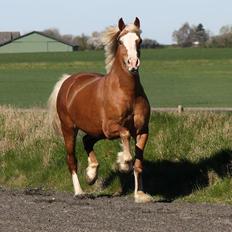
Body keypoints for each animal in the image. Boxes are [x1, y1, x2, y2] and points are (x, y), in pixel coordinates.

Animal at [47, 17, 152, 202]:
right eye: (120, 41)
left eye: (139, 40)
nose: (133, 63)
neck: (128, 93)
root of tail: (68, 81)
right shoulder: (110, 128)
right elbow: (125, 135)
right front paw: (123, 162)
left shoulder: (142, 130)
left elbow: (139, 164)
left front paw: (140, 195)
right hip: (69, 128)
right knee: (71, 159)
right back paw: (79, 191)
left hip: (96, 130)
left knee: (87, 141)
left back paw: (91, 174)